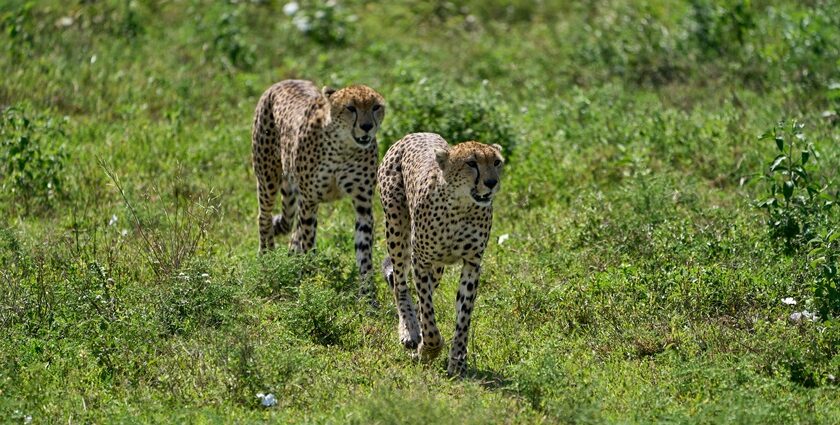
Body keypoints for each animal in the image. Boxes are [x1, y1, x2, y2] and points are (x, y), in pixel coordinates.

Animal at [251, 78, 386, 298]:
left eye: (376, 107)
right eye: (351, 108)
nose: (366, 126)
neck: (343, 147)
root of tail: (287, 80)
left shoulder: (363, 205)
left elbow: (364, 251)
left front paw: (368, 296)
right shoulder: (309, 201)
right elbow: (308, 242)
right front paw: (309, 283)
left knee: (291, 227)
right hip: (268, 176)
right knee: (264, 217)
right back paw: (268, 258)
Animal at [378, 132, 506, 374]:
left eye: (496, 162)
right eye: (471, 163)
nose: (491, 183)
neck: (461, 206)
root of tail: (418, 133)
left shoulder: (472, 264)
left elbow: (463, 315)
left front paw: (458, 361)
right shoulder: (421, 260)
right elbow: (428, 312)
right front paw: (429, 348)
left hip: (437, 266)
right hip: (396, 229)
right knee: (400, 284)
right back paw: (409, 331)